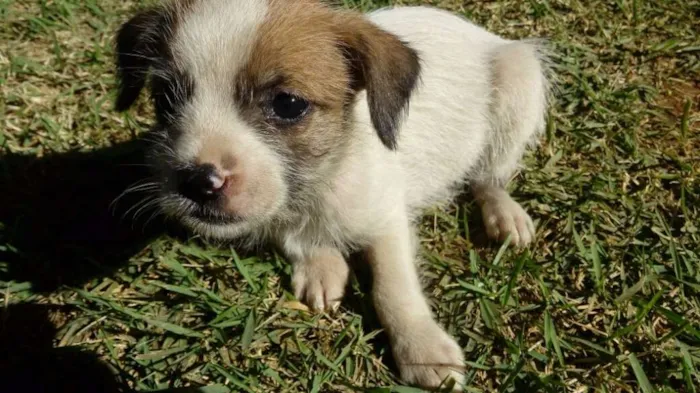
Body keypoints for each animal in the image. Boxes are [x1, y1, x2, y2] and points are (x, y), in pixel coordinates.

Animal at [115, 0, 548, 386]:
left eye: (288, 104)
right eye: (165, 98)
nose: (197, 181)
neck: (320, 181)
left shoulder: (387, 215)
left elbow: (394, 288)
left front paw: (422, 349)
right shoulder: (278, 210)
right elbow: (292, 233)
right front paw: (321, 265)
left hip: (520, 81)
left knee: (489, 176)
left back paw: (504, 214)